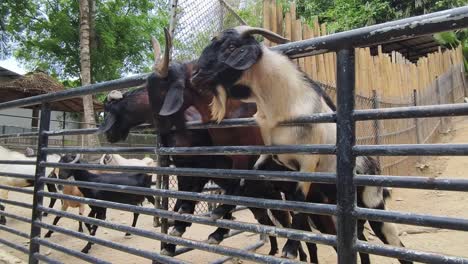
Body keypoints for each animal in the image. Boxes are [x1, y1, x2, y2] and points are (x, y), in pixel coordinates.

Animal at [192, 25, 412, 264]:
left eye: (231, 47)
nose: (194, 75)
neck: (287, 105)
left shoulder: (308, 162)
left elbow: (298, 202)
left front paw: (289, 248)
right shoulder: (269, 154)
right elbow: (245, 179)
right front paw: (219, 216)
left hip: (373, 204)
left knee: (397, 246)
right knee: (361, 243)